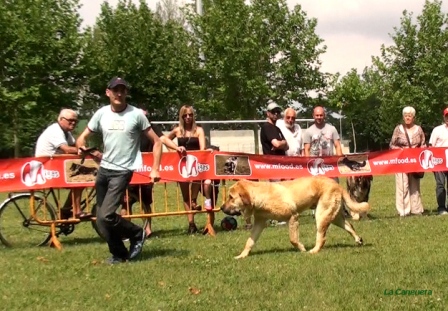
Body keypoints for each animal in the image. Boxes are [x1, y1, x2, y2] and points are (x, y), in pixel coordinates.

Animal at [220, 177, 372, 260]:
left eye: (231, 197)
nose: (221, 207)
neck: (260, 196)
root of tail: (337, 185)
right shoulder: (259, 223)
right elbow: (249, 242)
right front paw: (242, 255)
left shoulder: (293, 216)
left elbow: (293, 239)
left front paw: (302, 248)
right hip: (334, 217)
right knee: (350, 226)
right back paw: (358, 240)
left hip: (321, 215)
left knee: (322, 237)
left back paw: (314, 251)